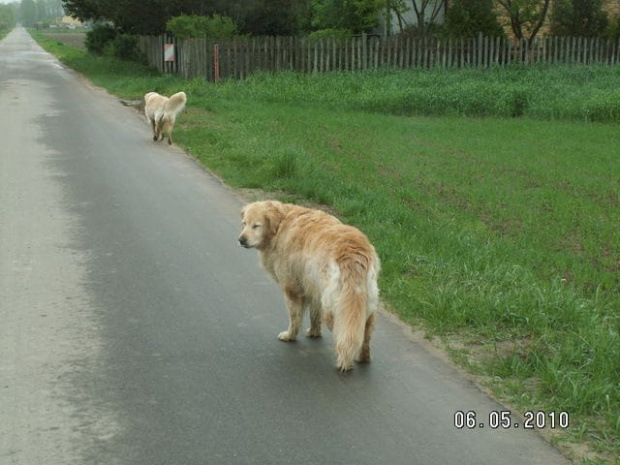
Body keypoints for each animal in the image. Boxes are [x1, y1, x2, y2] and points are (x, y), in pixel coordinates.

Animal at [239, 199, 380, 370]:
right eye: (244, 223)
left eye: (256, 226)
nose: (241, 240)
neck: (281, 225)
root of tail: (353, 253)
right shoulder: (313, 288)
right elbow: (314, 314)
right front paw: (314, 332)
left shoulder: (291, 288)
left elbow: (295, 317)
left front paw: (290, 336)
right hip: (365, 303)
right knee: (365, 333)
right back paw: (364, 357)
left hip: (335, 307)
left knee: (345, 335)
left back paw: (344, 362)